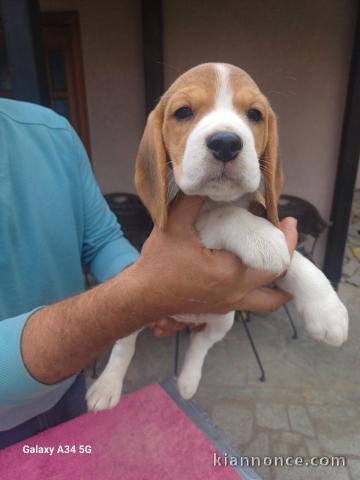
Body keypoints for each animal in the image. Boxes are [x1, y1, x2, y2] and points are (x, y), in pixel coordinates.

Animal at [86, 62, 348, 410]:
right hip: (131, 309)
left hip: (224, 319)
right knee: (124, 346)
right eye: (183, 112)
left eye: (254, 114)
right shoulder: (184, 227)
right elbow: (225, 216)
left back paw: (187, 382)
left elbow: (298, 260)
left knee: (199, 343)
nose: (225, 143)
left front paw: (328, 310)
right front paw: (262, 238)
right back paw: (106, 387)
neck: (216, 198)